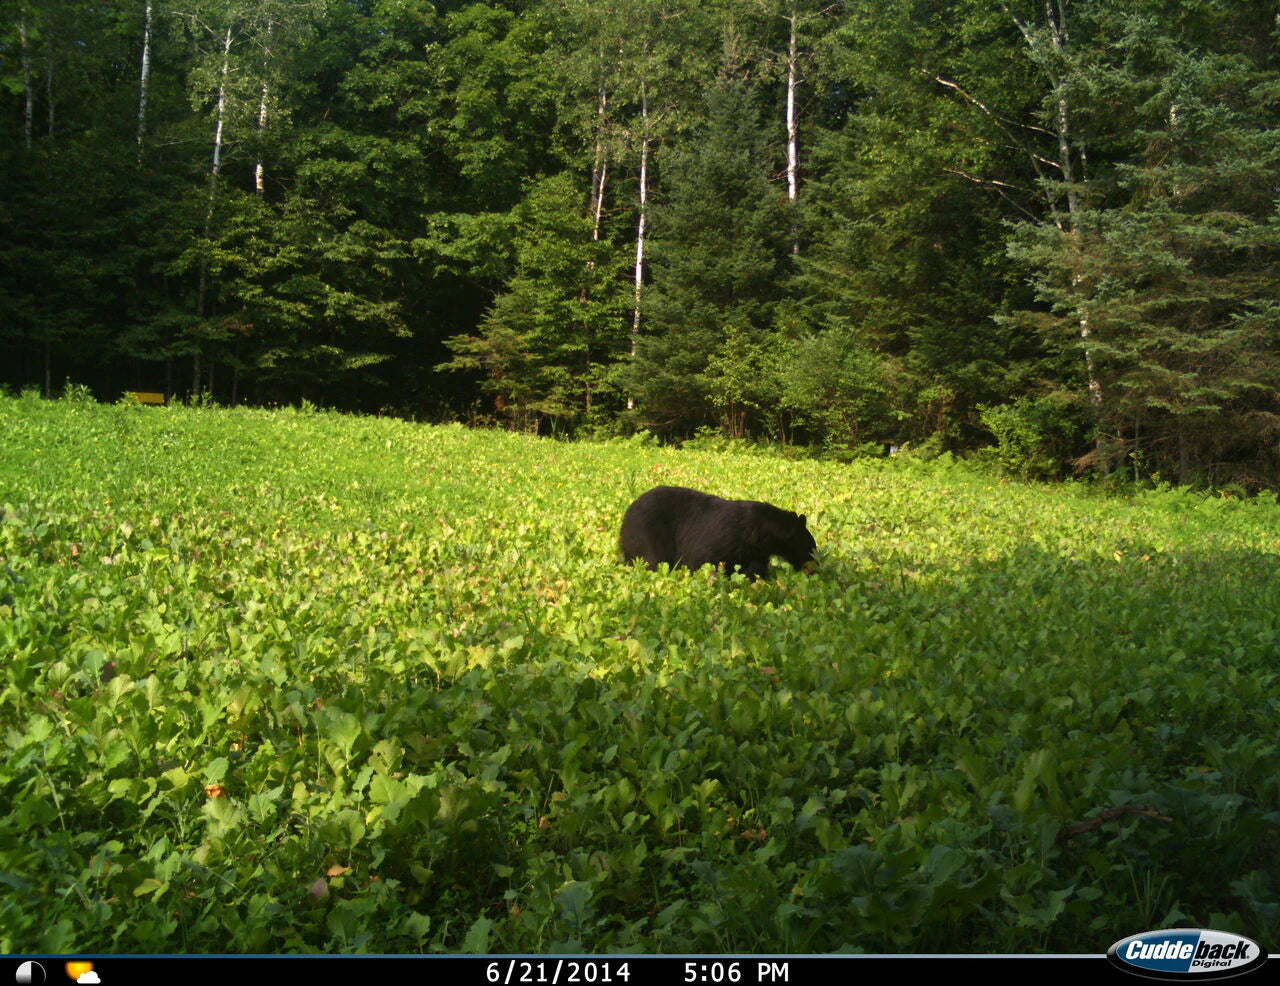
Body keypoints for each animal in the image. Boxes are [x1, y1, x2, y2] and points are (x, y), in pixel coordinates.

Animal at [622, 484, 819, 576]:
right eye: (811, 548)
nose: (815, 569)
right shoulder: (723, 541)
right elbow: (704, 561)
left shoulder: (754, 553)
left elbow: (755, 570)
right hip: (648, 534)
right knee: (653, 559)